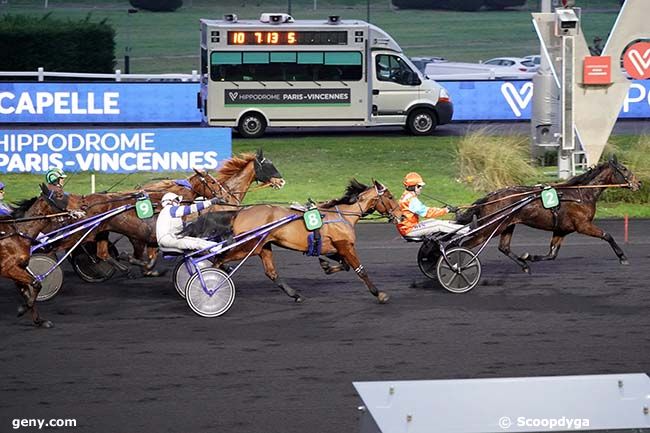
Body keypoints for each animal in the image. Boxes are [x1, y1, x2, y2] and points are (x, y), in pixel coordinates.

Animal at [182, 179, 402, 304]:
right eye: (390, 196)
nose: (400, 215)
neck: (343, 216)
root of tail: (240, 213)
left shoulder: (335, 247)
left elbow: (344, 265)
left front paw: (326, 266)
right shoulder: (345, 245)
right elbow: (359, 270)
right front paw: (379, 294)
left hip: (263, 246)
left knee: (271, 273)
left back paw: (295, 294)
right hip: (247, 246)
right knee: (218, 259)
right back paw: (209, 288)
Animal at [454, 155, 640, 272]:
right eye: (624, 169)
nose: (639, 183)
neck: (581, 194)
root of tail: (490, 197)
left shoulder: (561, 230)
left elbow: (552, 254)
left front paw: (529, 257)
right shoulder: (583, 225)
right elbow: (607, 235)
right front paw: (622, 257)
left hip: (506, 225)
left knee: (504, 247)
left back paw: (524, 266)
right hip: (490, 228)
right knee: (464, 245)